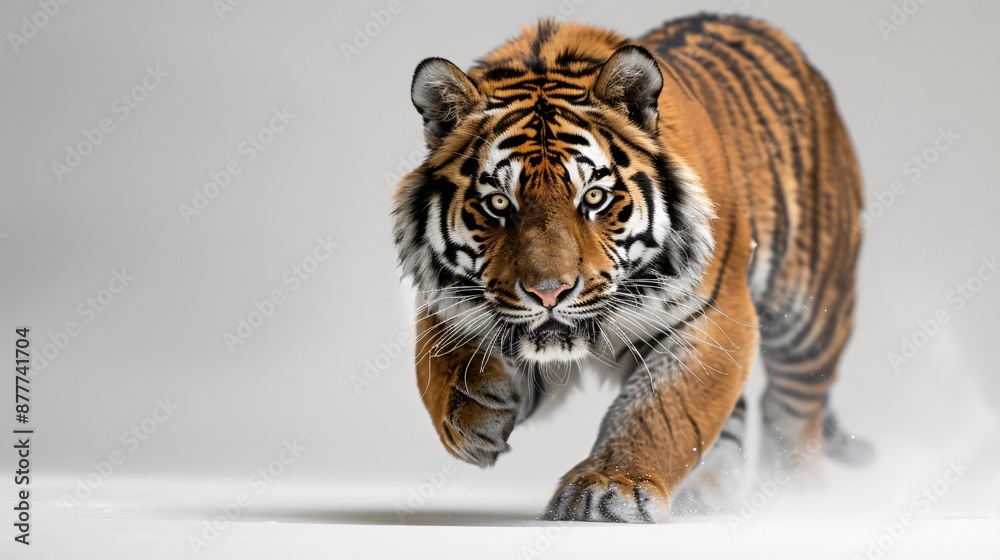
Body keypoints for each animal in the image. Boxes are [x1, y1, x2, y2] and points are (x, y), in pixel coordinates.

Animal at [392, 13, 872, 523]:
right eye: (499, 203)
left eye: (594, 198)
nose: (548, 293)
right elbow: (436, 358)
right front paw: (471, 413)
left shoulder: (714, 318)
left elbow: (663, 411)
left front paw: (609, 487)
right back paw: (707, 498)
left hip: (812, 313)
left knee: (793, 412)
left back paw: (795, 499)